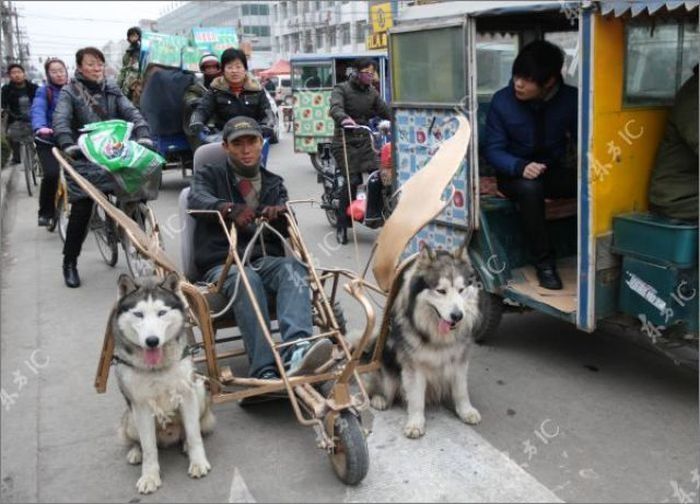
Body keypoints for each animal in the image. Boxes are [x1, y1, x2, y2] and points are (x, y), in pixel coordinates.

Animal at [112, 274, 215, 494]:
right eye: (139, 314)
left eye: (161, 313)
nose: (152, 341)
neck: (156, 368)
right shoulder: (141, 405)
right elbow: (149, 448)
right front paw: (150, 476)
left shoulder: (187, 394)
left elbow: (194, 435)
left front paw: (198, 462)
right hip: (131, 418)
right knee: (139, 441)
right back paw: (136, 452)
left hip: (200, 391)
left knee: (188, 430)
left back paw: (184, 444)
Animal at [366, 244, 482, 438]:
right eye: (441, 291)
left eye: (461, 290)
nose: (457, 316)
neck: (438, 336)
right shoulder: (414, 367)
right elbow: (416, 399)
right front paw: (415, 422)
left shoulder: (459, 362)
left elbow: (461, 391)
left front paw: (466, 411)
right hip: (387, 373)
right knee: (377, 388)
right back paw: (379, 398)